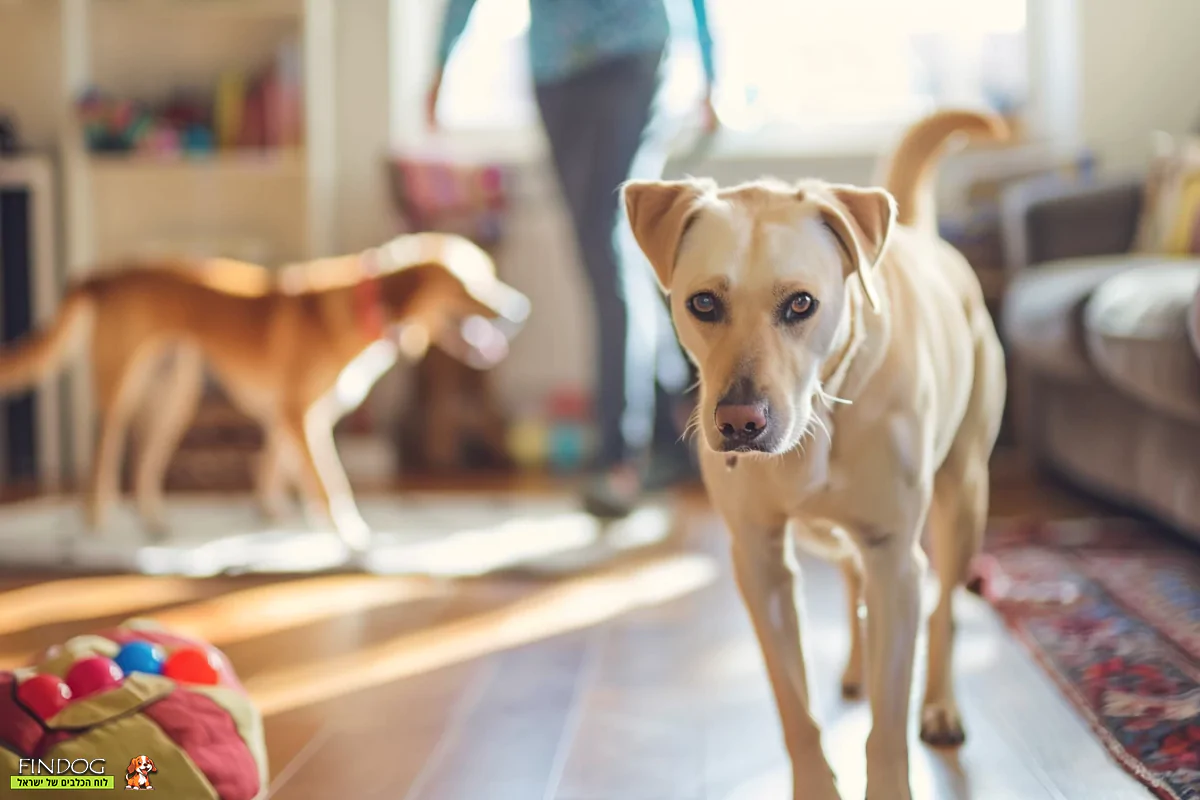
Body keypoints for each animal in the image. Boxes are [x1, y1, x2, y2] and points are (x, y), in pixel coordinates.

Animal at [0, 227, 525, 546]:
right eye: (469, 285)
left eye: (491, 275)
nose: (519, 308)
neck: (362, 308)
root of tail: (104, 274)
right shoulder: (300, 415)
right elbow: (329, 482)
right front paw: (352, 536)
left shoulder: (289, 419)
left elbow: (277, 469)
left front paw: (274, 517)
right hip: (122, 388)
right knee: (101, 459)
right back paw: (94, 524)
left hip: (174, 394)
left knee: (145, 464)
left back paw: (156, 524)